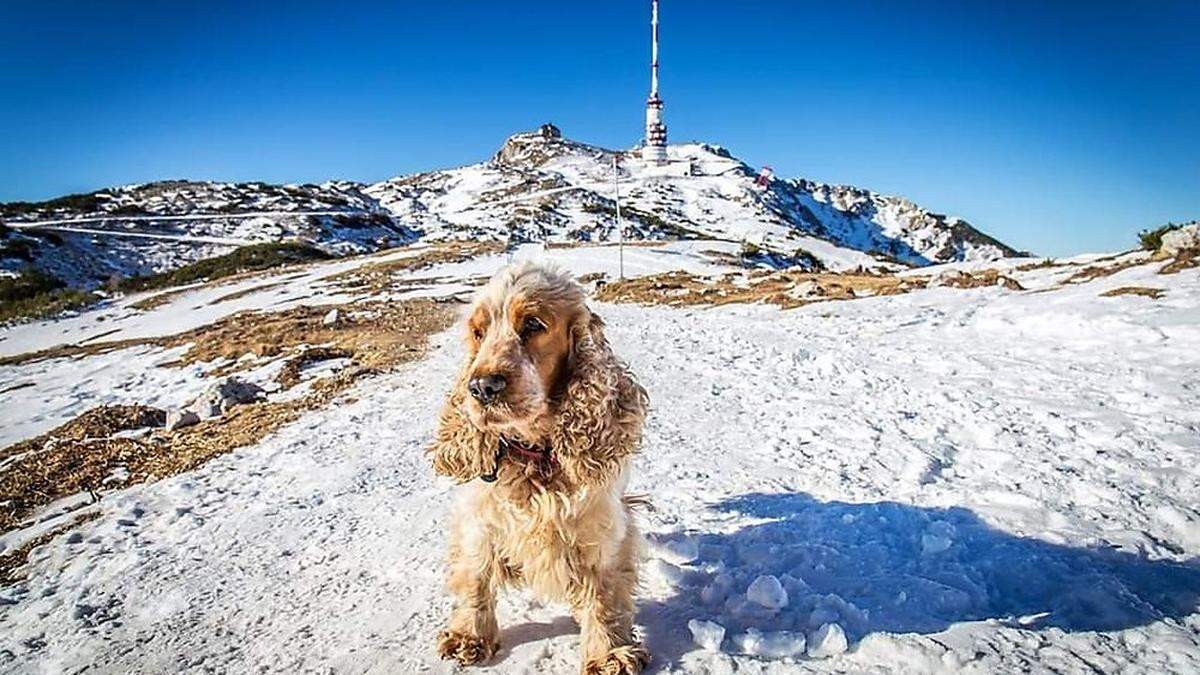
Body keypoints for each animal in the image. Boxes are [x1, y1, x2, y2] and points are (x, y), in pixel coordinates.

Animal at [432, 261, 652, 672]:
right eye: (478, 332)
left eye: (533, 324)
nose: (482, 387)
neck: (535, 453)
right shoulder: (479, 519)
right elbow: (474, 576)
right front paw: (469, 636)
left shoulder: (601, 530)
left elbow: (604, 594)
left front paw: (608, 654)